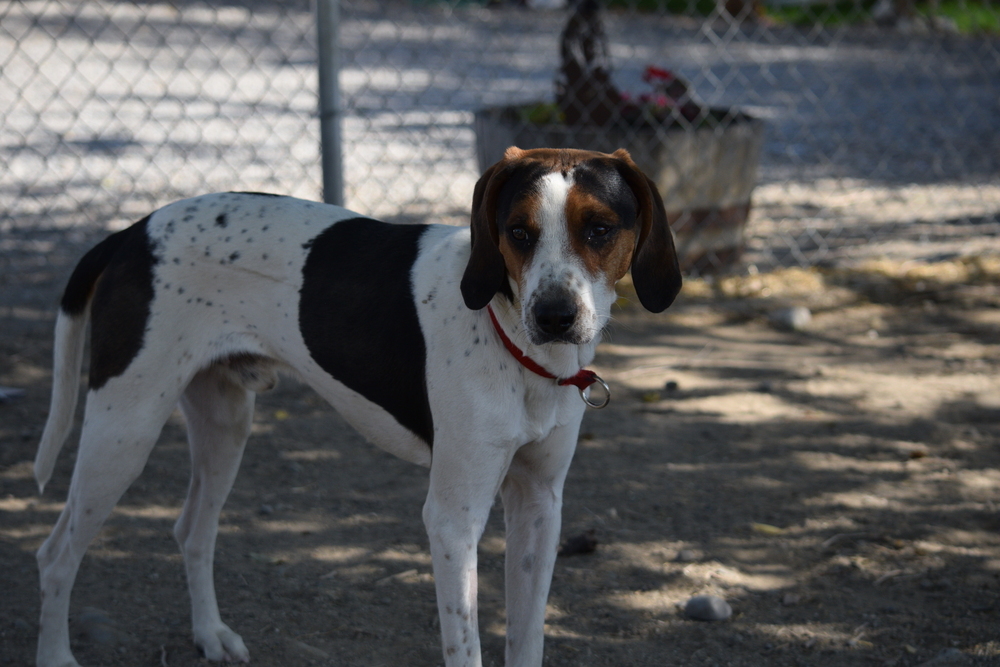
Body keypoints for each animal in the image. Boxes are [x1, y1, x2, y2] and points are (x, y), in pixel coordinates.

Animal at [35, 147, 684, 667]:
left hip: (224, 425)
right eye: (519, 232)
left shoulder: (539, 506)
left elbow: (527, 640)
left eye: (599, 228)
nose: (553, 316)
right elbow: (464, 646)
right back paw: (58, 655)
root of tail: (132, 232)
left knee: (192, 530)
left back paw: (211, 635)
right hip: (123, 433)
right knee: (55, 554)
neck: (516, 347)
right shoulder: (453, 520)